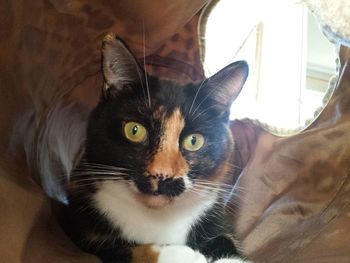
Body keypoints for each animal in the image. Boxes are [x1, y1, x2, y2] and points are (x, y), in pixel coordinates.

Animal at [63, 33, 249, 263]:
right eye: (134, 130)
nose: (162, 175)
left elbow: (228, 242)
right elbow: (124, 251)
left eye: (194, 141)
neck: (156, 218)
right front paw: (181, 254)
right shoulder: (82, 230)